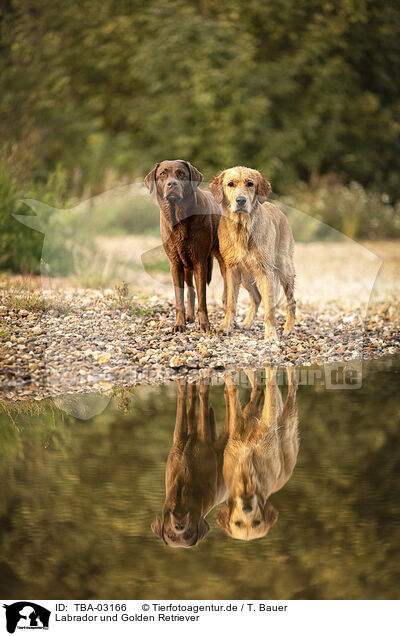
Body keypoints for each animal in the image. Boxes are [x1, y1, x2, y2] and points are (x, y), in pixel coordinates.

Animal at [145, 159, 225, 332]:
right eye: (162, 174)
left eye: (181, 174)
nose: (172, 184)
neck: (179, 217)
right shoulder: (175, 262)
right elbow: (179, 297)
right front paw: (179, 324)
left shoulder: (200, 261)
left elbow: (203, 297)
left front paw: (205, 325)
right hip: (186, 263)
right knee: (190, 290)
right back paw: (189, 316)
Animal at [211, 166, 296, 340]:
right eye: (230, 184)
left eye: (250, 184)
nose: (241, 200)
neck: (242, 229)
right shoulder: (232, 270)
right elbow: (231, 303)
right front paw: (225, 327)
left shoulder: (266, 272)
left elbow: (269, 308)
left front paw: (271, 335)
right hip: (245, 276)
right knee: (256, 297)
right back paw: (247, 323)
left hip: (285, 269)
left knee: (291, 301)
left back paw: (289, 327)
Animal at [217, 368, 298, 540]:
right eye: (238, 523)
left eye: (256, 522)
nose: (247, 507)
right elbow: (234, 391)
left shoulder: (269, 421)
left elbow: (270, 387)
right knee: (257, 387)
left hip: (288, 424)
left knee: (289, 389)